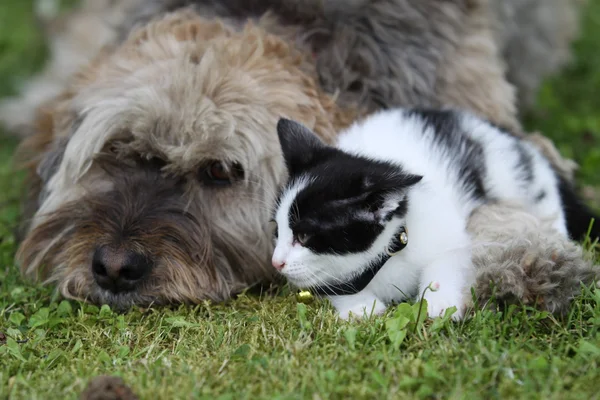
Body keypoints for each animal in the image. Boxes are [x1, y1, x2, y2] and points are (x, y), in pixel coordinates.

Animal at [272, 108, 600, 320]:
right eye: (277, 231)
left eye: (304, 235)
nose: (276, 263)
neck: (386, 253)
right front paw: (359, 307)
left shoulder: (447, 230)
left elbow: (447, 256)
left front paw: (437, 302)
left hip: (513, 174)